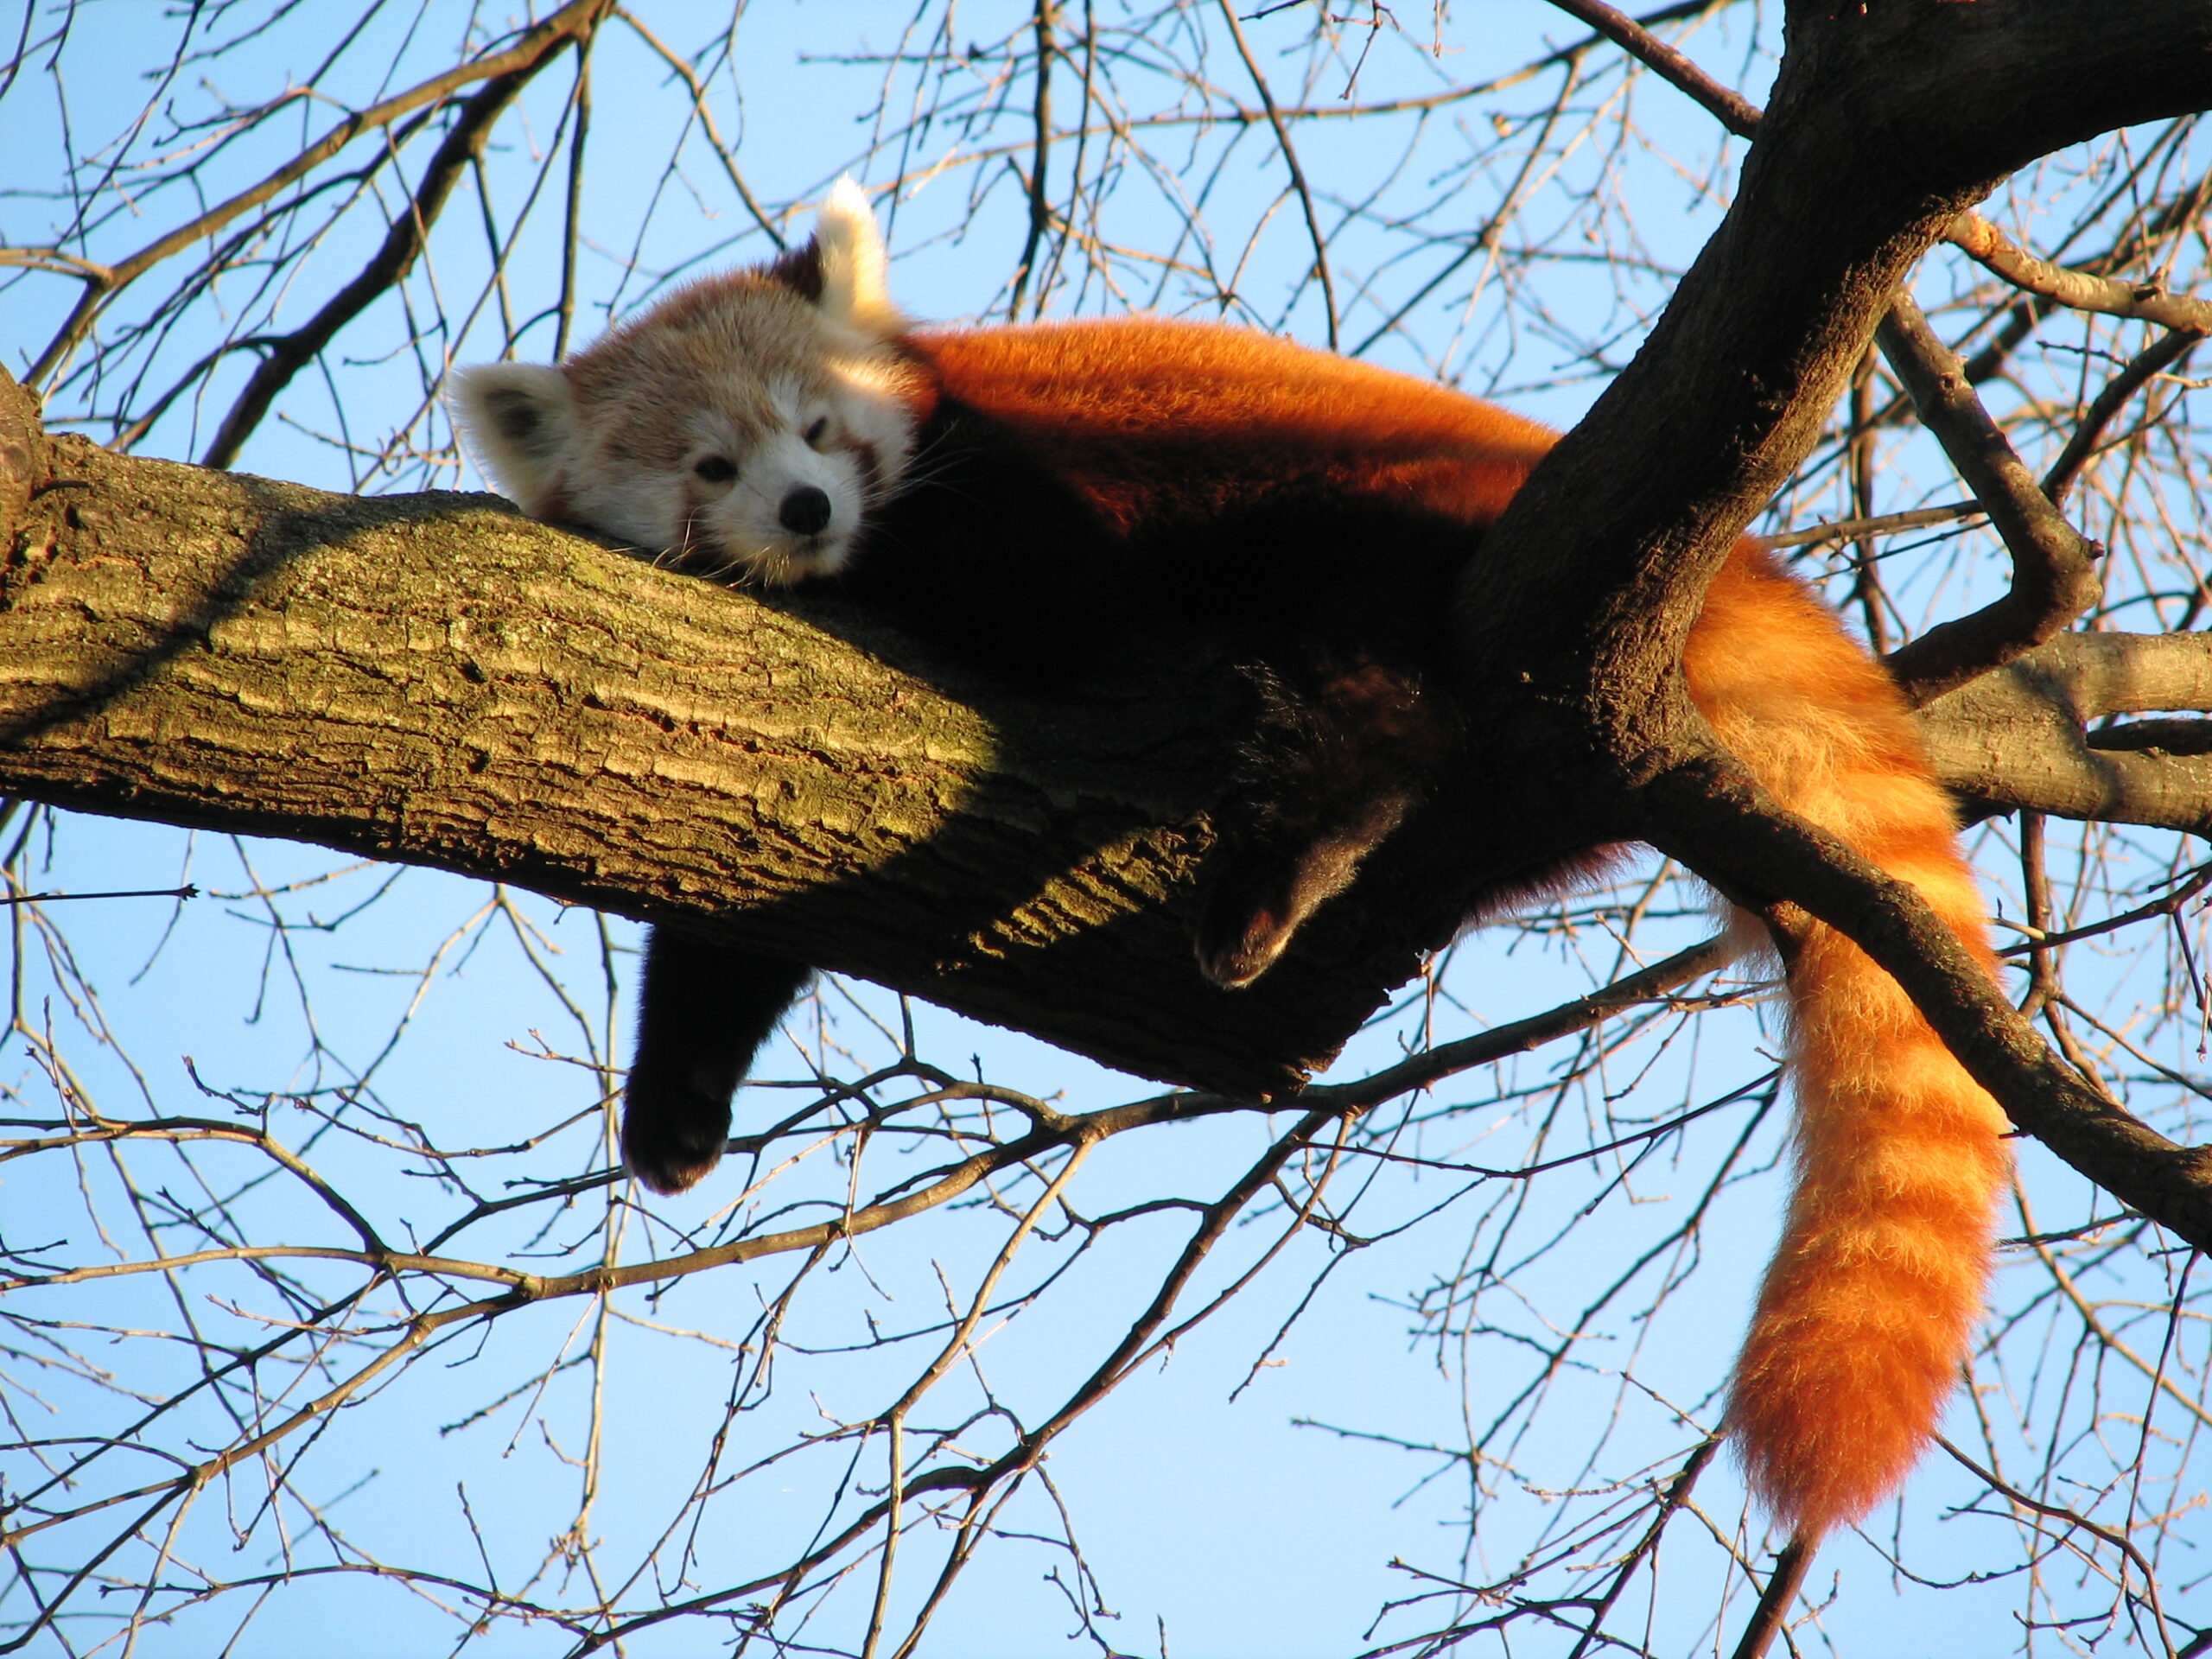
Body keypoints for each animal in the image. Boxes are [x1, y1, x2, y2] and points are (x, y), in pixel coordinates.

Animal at [453, 181, 2025, 1548]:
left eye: (822, 434)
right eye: (710, 466)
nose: (803, 515)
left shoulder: (1014, 491)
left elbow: (1039, 597)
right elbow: (732, 917)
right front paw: (676, 1110)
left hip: (1377, 518)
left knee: (1369, 687)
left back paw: (1295, 847)